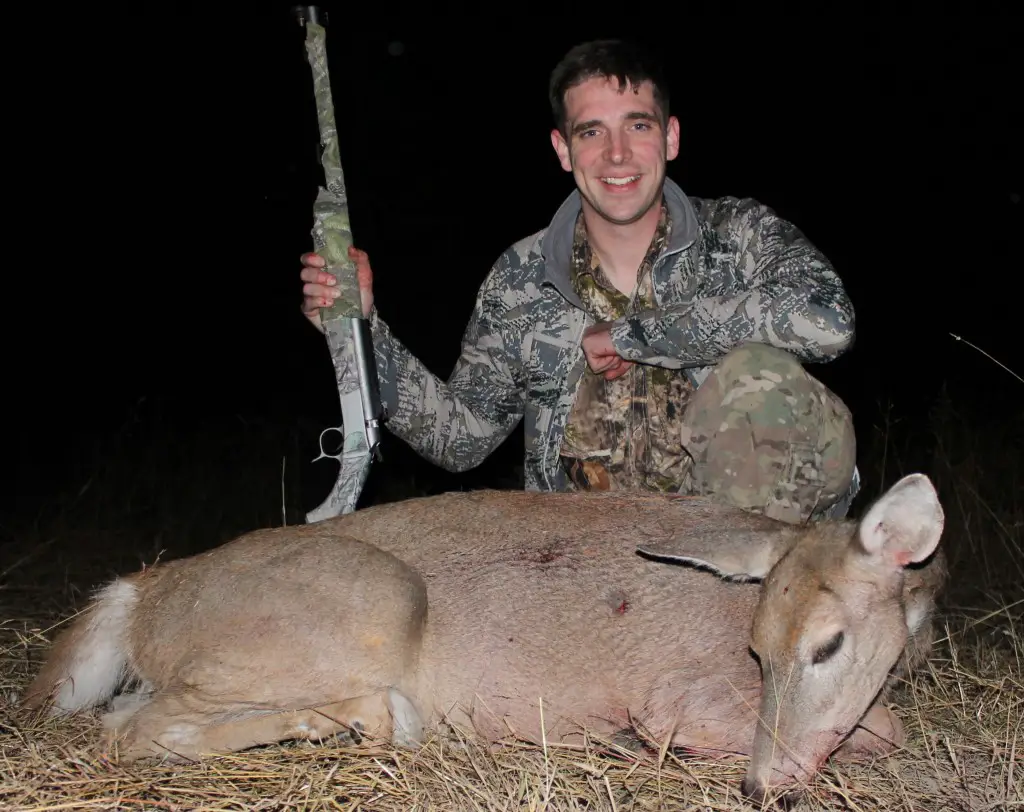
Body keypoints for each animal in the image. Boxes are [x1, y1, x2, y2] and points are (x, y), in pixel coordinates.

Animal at [22, 471, 942, 802]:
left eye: (826, 643)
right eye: (759, 647)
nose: (764, 784)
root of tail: (145, 588)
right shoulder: (680, 695)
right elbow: (889, 731)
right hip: (366, 606)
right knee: (130, 731)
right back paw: (365, 719)